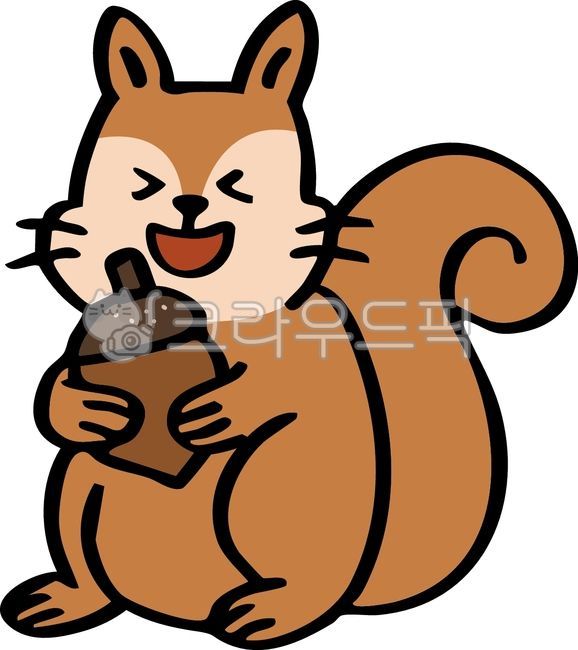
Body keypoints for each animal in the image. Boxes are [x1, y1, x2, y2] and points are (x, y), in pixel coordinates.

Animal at [2, 3, 576, 648]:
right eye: (141, 181)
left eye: (240, 183)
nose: (189, 204)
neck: (215, 307)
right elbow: (59, 386)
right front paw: (84, 407)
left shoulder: (314, 344)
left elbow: (302, 388)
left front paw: (227, 407)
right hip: (80, 481)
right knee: (85, 535)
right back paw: (65, 599)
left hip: (276, 494)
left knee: (305, 572)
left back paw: (269, 609)